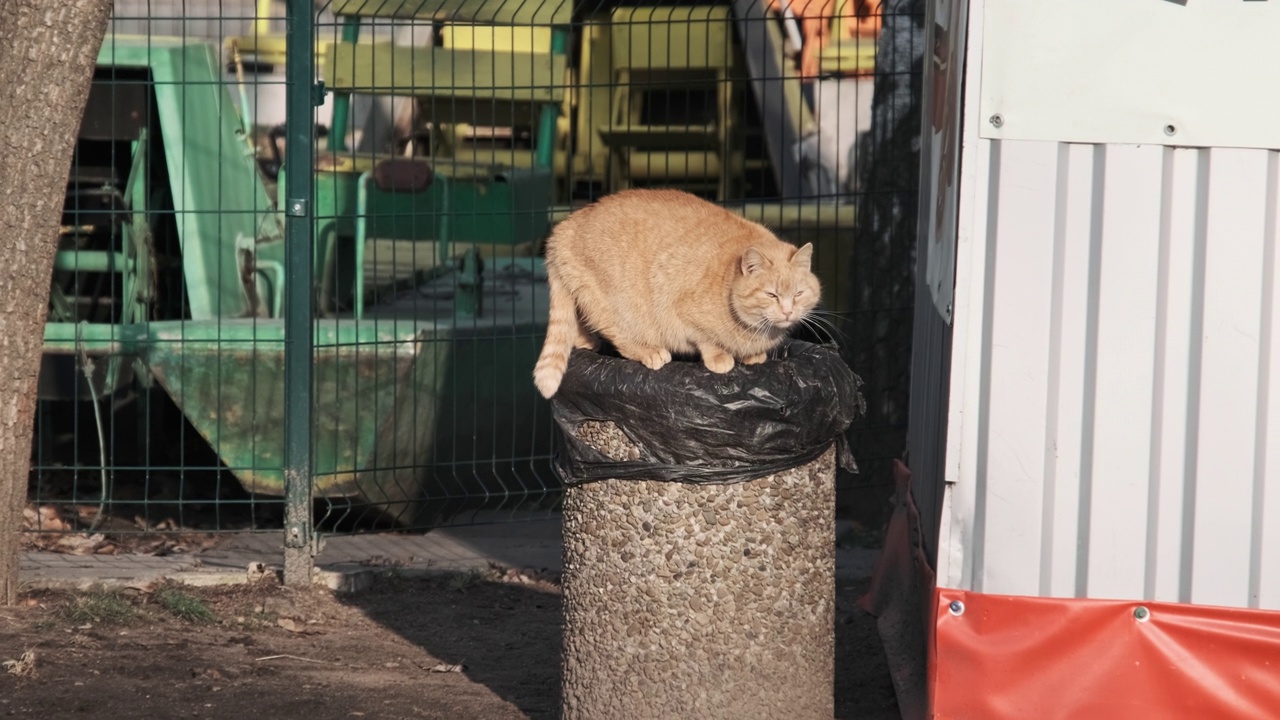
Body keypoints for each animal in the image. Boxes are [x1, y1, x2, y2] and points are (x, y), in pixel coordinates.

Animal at [532, 188, 819, 397]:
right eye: (772, 295)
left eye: (798, 294)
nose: (787, 312)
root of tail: (563, 227)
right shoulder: (683, 314)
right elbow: (707, 340)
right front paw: (720, 358)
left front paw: (753, 356)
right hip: (616, 306)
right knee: (617, 335)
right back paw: (647, 351)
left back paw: (585, 341)